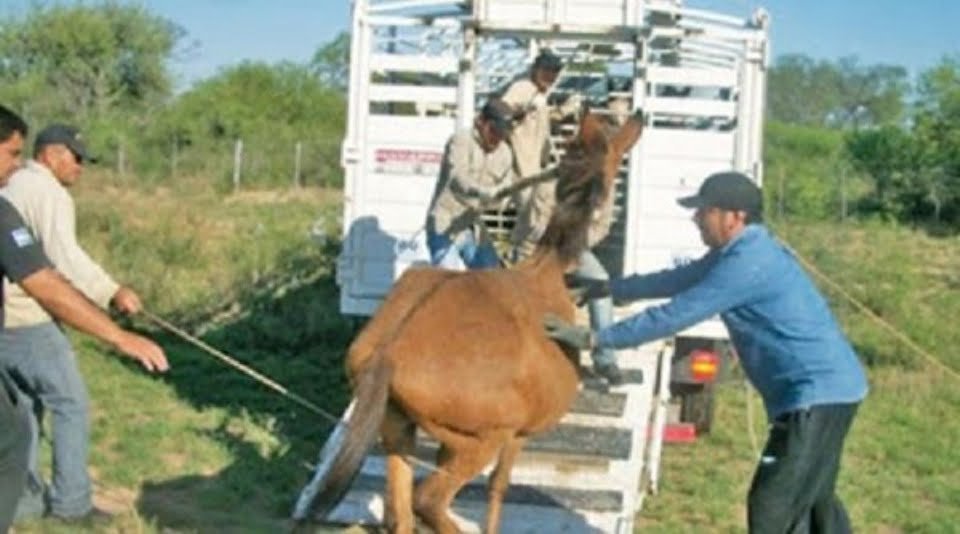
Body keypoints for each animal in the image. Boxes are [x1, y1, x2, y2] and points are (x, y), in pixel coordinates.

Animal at [296, 111, 640, 532]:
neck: (549, 268)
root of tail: (387, 354)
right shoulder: (515, 434)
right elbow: (498, 488)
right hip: (481, 441)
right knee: (427, 500)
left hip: (398, 430)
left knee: (400, 515)